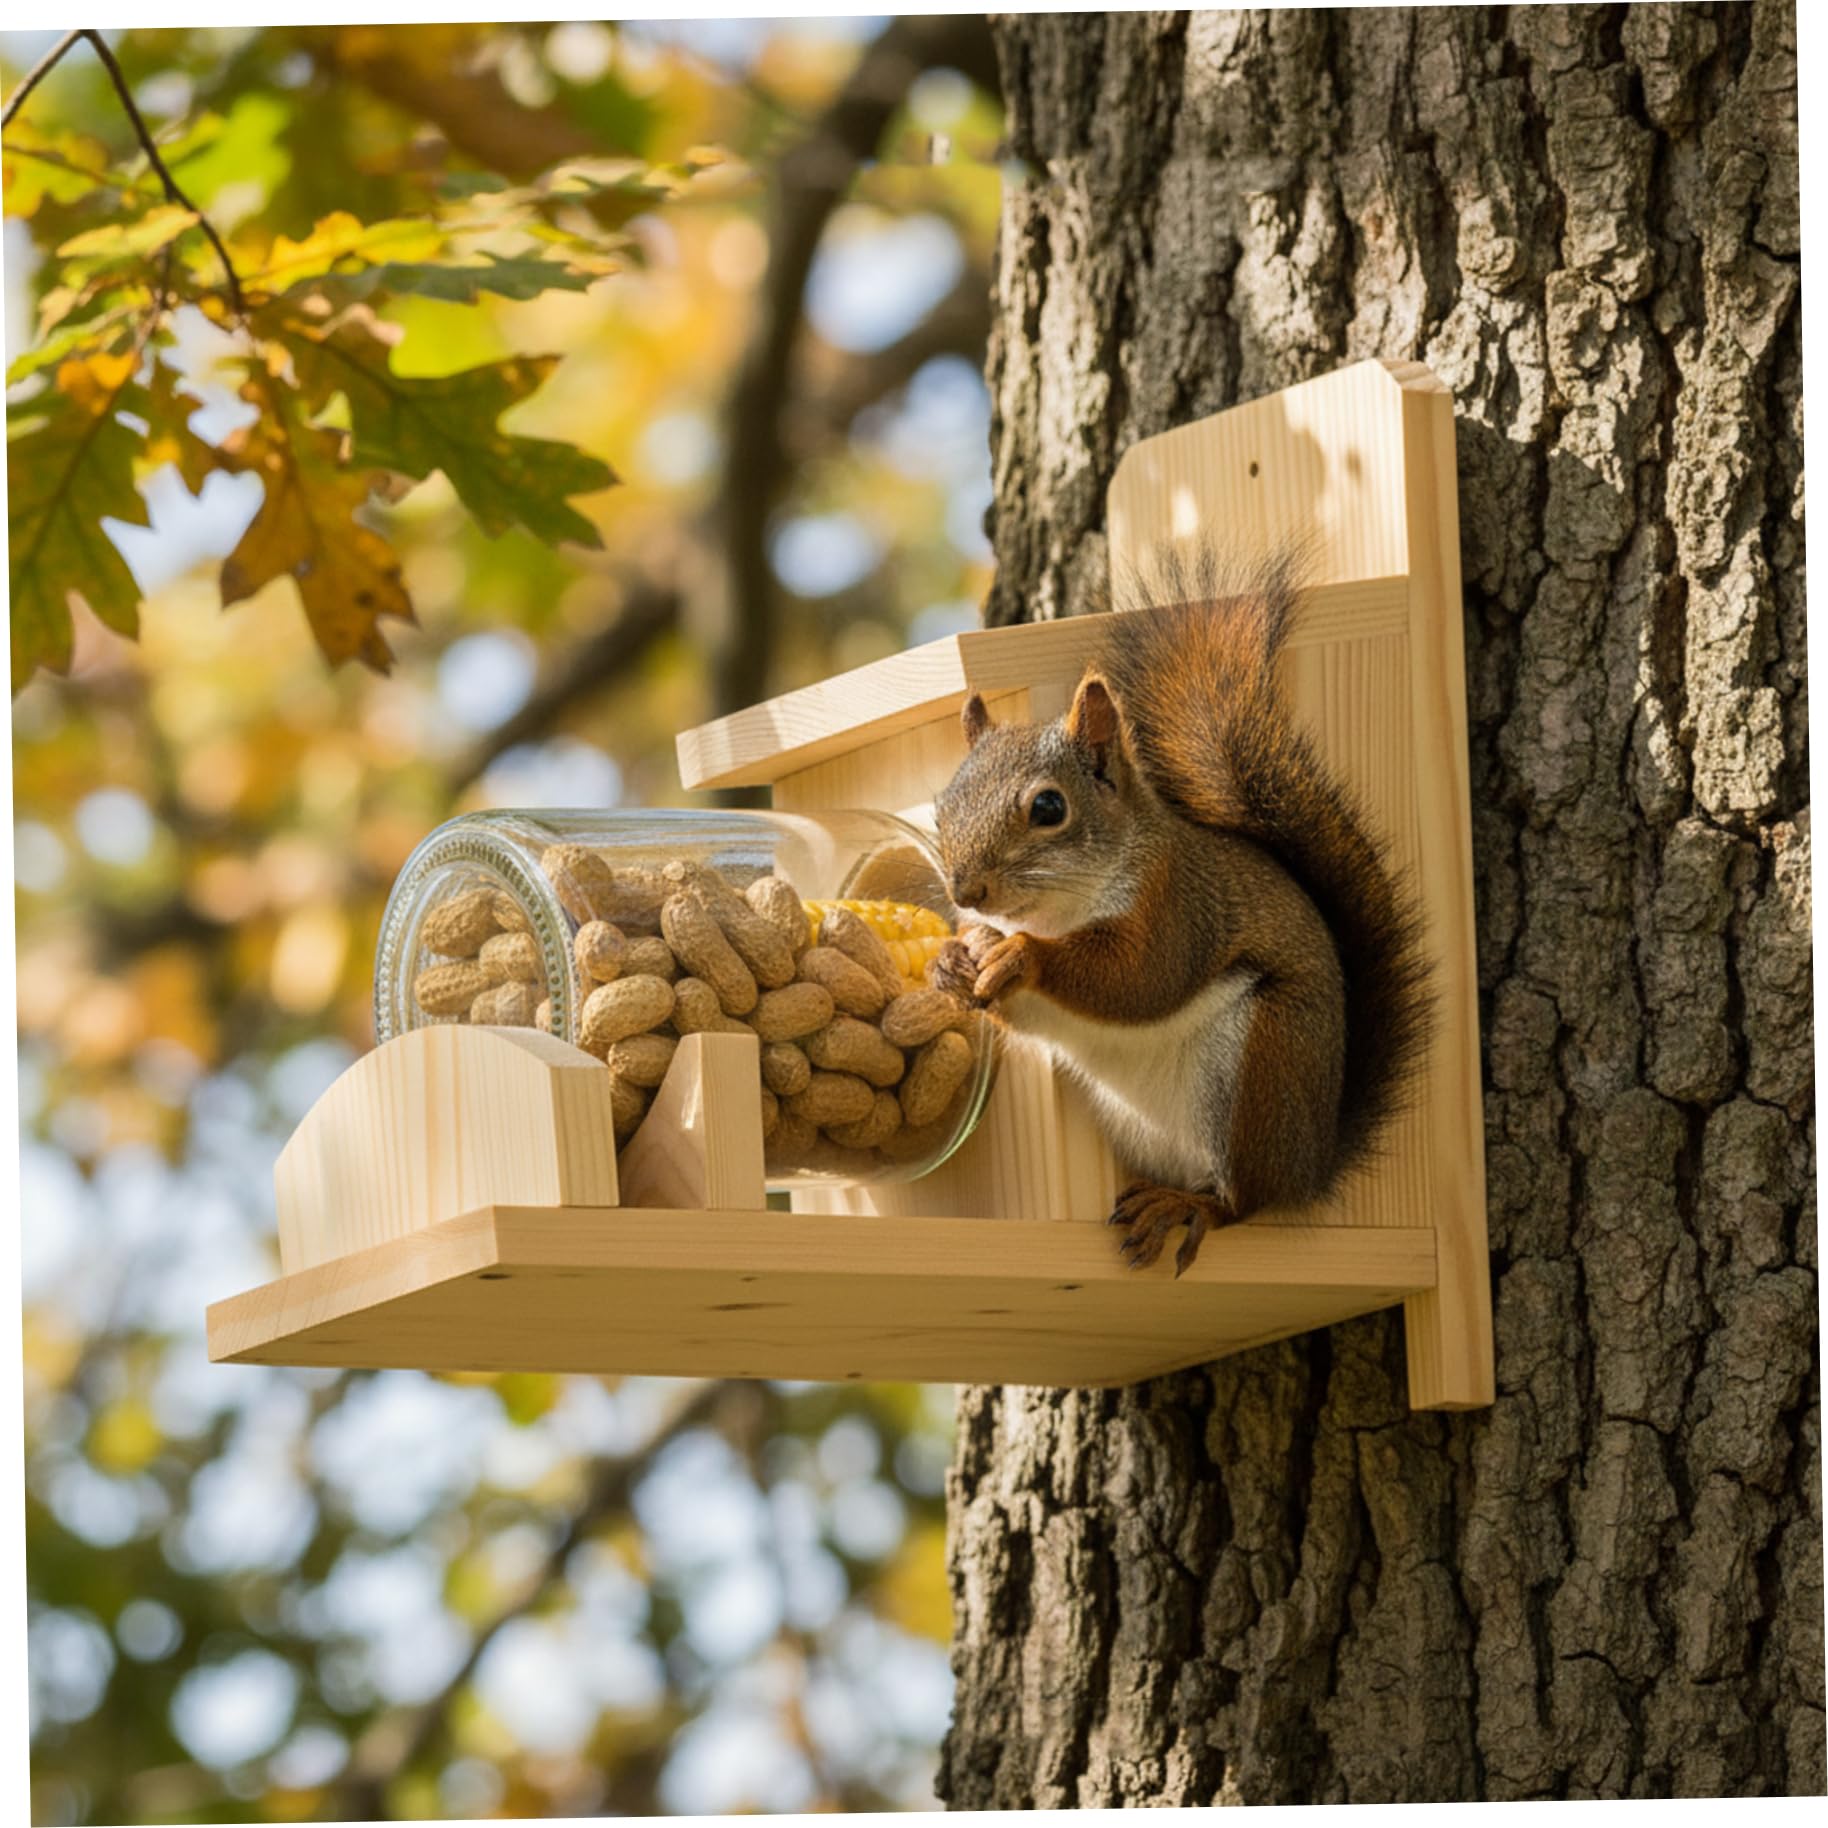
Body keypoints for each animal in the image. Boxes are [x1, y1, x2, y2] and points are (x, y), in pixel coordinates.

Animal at [929, 548, 1431, 1275]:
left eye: (1049, 807)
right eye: (941, 807)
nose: (967, 892)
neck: (1056, 912)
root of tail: (1311, 1162)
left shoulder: (1177, 906)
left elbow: (1139, 979)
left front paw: (1022, 957)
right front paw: (951, 962)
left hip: (1262, 1067)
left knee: (1242, 1201)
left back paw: (1190, 1205)